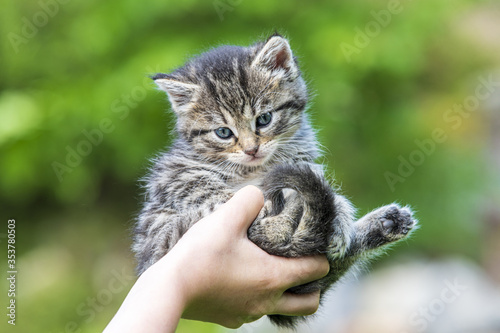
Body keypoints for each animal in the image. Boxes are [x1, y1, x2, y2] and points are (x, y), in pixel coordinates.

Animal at [131, 34, 416, 326]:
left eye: (264, 119)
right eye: (223, 132)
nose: (251, 149)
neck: (256, 169)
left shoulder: (304, 161)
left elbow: (330, 196)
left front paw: (341, 219)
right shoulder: (174, 175)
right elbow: (207, 190)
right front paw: (262, 207)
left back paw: (385, 223)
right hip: (165, 236)